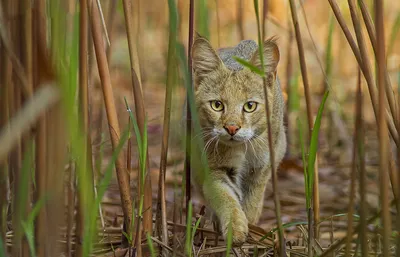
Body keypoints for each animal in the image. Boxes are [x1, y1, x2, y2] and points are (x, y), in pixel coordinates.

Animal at [190, 33, 286, 245]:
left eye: (250, 106)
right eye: (217, 105)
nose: (232, 128)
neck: (243, 148)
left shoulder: (261, 167)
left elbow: (252, 202)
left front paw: (249, 229)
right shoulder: (214, 168)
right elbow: (225, 197)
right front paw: (235, 228)